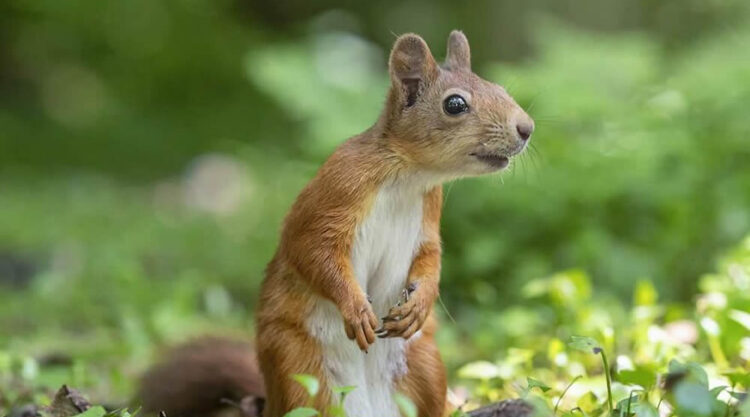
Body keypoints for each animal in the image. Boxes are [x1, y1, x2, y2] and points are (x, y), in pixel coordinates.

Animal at [137, 30, 536, 416]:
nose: (527, 127)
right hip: (296, 367)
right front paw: (356, 308)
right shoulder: (338, 190)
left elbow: (431, 256)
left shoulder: (429, 214)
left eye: (501, 89)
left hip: (424, 364)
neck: (407, 176)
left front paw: (421, 302)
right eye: (454, 104)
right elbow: (313, 251)